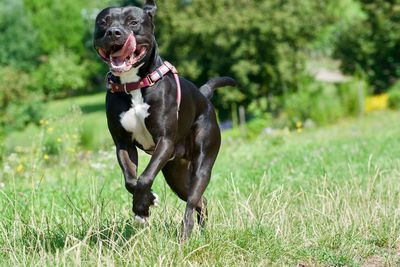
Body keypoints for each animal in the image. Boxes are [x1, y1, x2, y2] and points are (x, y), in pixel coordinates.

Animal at [93, 0, 234, 239]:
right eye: (104, 22)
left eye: (133, 22)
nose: (114, 32)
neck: (134, 84)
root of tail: (203, 96)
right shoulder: (123, 145)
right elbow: (131, 180)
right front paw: (146, 202)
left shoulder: (164, 141)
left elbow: (145, 177)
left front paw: (141, 207)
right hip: (175, 174)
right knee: (200, 200)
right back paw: (201, 230)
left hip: (202, 162)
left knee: (192, 200)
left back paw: (185, 234)